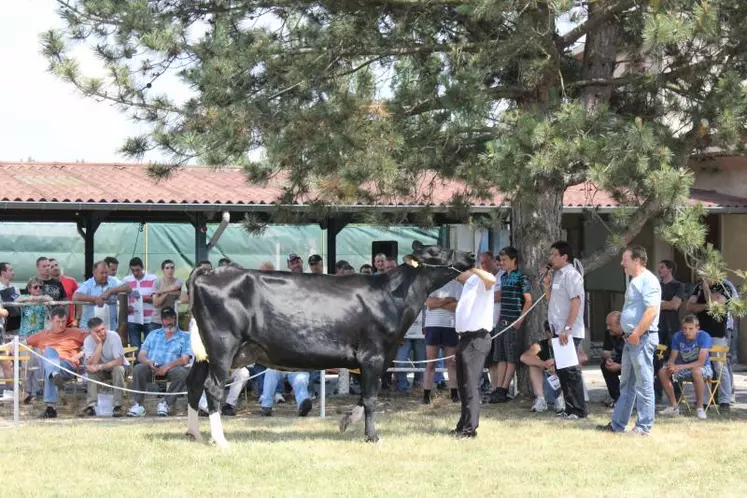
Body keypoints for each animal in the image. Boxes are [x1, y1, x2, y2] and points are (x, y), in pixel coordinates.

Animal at [185, 242, 474, 448]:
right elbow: (371, 398)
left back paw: (194, 434)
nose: (471, 254)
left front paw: (346, 421)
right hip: (223, 345)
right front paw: (372, 436)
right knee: (212, 387)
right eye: (435, 251)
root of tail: (211, 272)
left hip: (206, 352)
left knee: (194, 384)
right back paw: (220, 440)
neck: (390, 295)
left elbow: (365, 395)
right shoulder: (373, 354)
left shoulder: (384, 356)